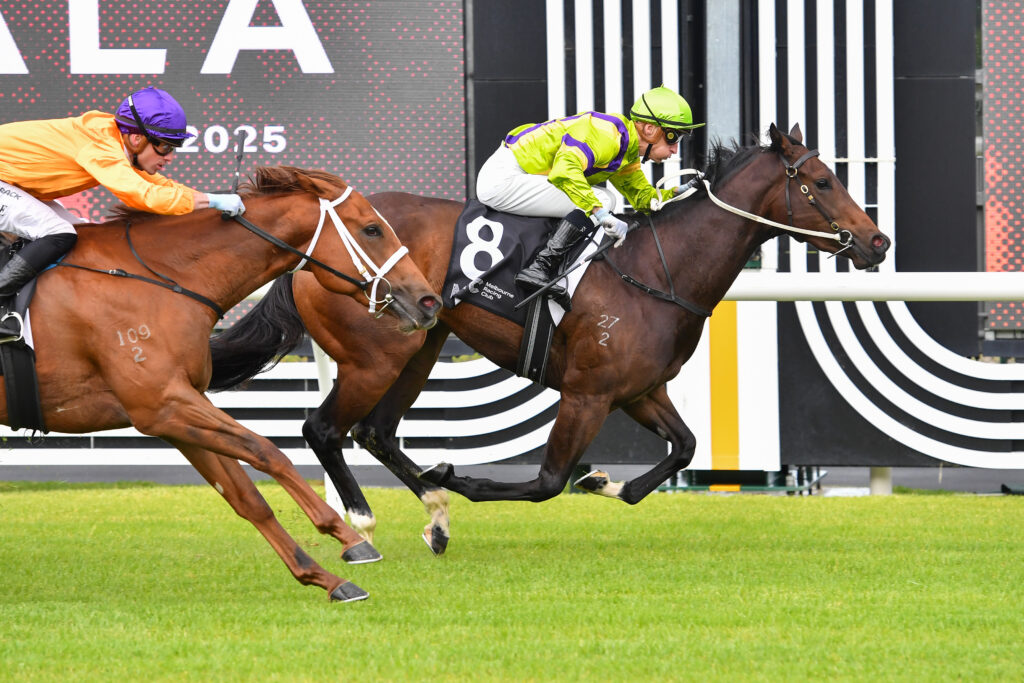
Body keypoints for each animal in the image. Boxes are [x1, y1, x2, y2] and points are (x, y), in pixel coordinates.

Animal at [1, 165, 441, 601]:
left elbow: (245, 496)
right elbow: (267, 452)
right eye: (372, 229)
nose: (429, 301)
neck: (156, 278)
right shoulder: (162, 404)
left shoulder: (176, 412)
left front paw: (325, 577)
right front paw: (349, 537)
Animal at [207, 125, 891, 555]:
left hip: (420, 344)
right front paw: (465, 477)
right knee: (324, 428)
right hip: (377, 354)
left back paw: (435, 514)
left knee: (375, 430)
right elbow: (547, 480)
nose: (877, 241)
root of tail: (308, 248)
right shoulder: (587, 394)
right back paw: (369, 519)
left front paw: (610, 483)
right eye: (821, 182)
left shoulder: (637, 390)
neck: (656, 269)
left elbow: (684, 448)